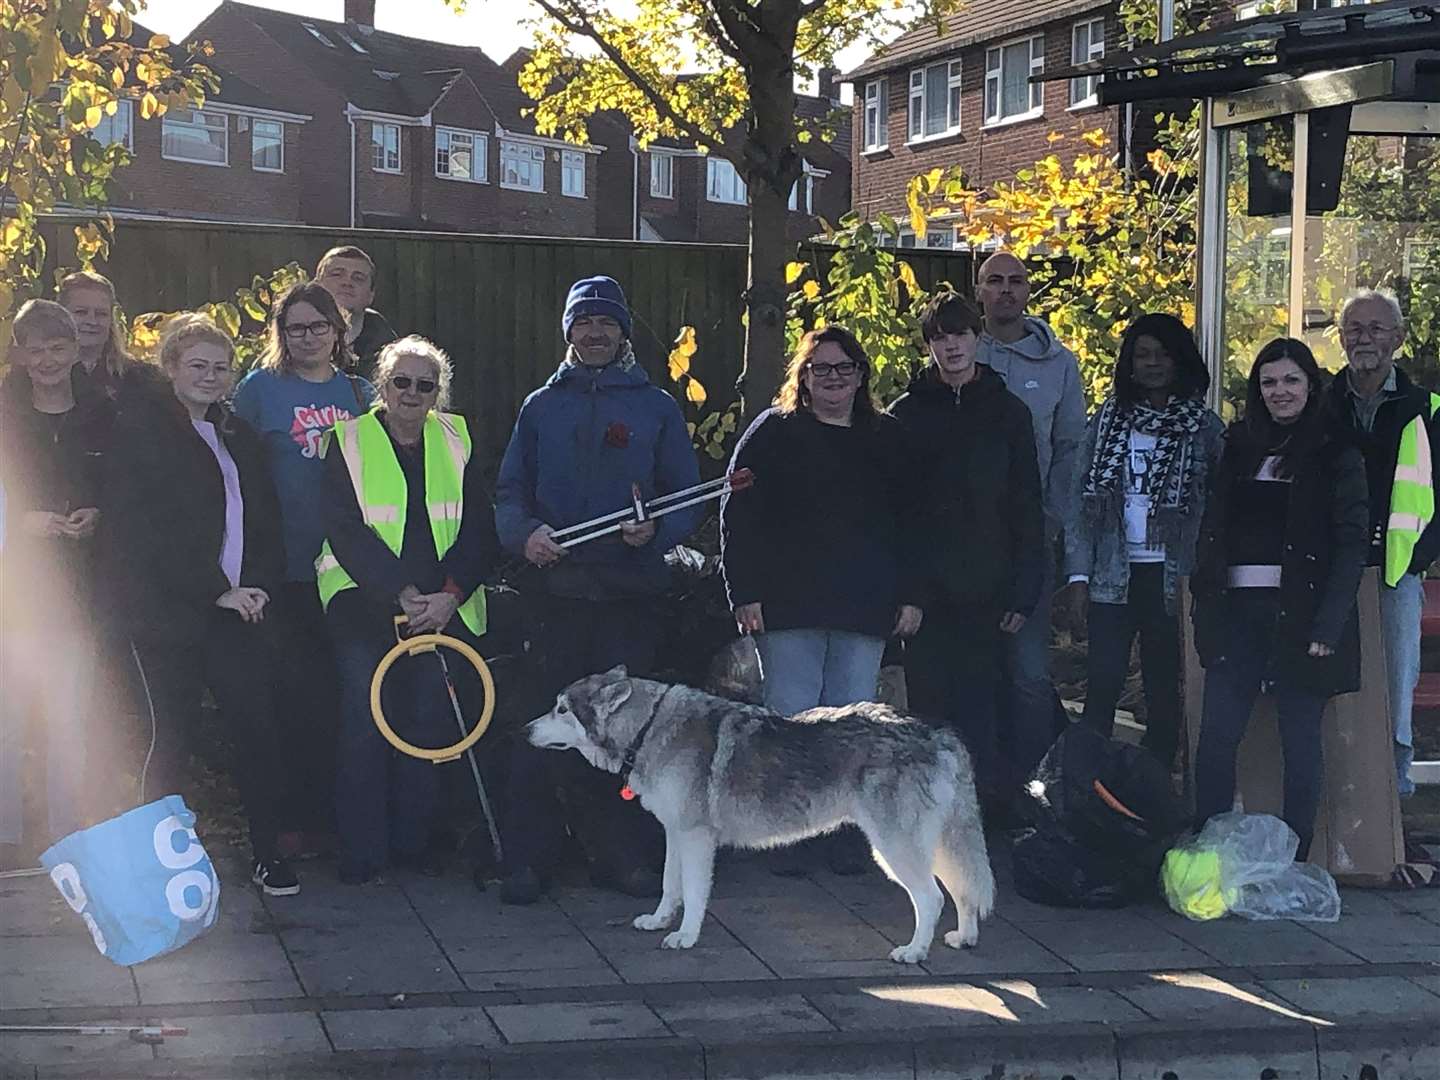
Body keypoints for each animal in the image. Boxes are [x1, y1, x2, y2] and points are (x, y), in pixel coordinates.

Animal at [527, 668, 990, 961]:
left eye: (562, 709)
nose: (524, 730)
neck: (649, 728)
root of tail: (938, 731)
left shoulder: (697, 838)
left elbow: (693, 893)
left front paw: (685, 937)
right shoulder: (676, 833)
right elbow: (668, 887)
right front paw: (659, 922)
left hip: (894, 849)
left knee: (931, 897)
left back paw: (914, 952)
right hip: (931, 846)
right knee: (964, 891)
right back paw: (964, 939)